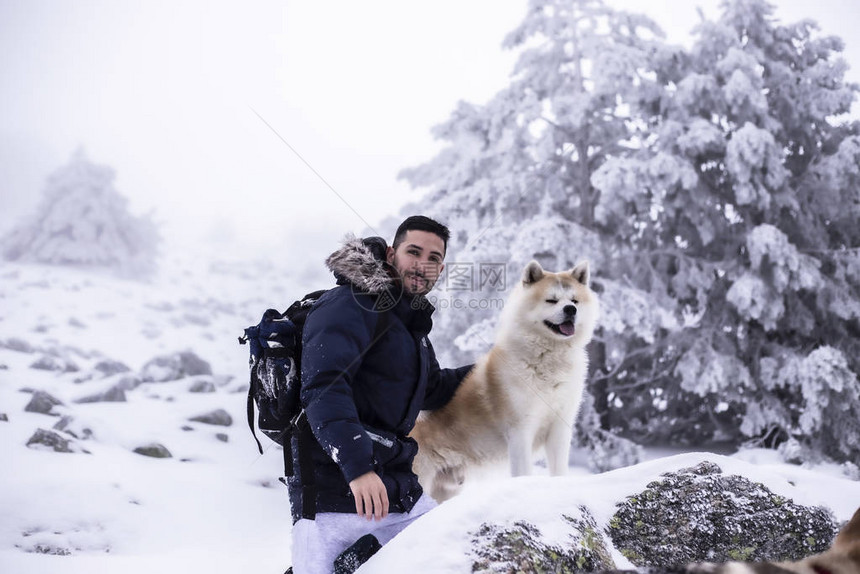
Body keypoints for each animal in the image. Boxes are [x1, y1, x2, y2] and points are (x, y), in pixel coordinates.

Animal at [410, 260, 596, 504]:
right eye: (552, 300)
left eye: (574, 301)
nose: (570, 310)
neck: (548, 358)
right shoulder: (520, 431)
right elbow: (524, 472)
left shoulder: (559, 427)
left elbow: (559, 470)